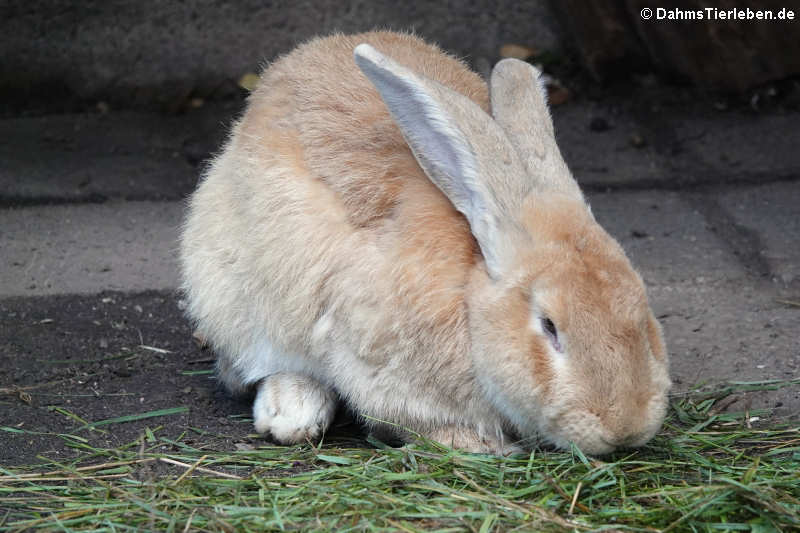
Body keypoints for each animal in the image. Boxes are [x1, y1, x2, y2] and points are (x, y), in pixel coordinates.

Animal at [180, 30, 668, 454]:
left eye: (640, 307)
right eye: (549, 326)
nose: (624, 427)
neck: (469, 301)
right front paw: (483, 446)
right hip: (230, 293)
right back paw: (291, 412)